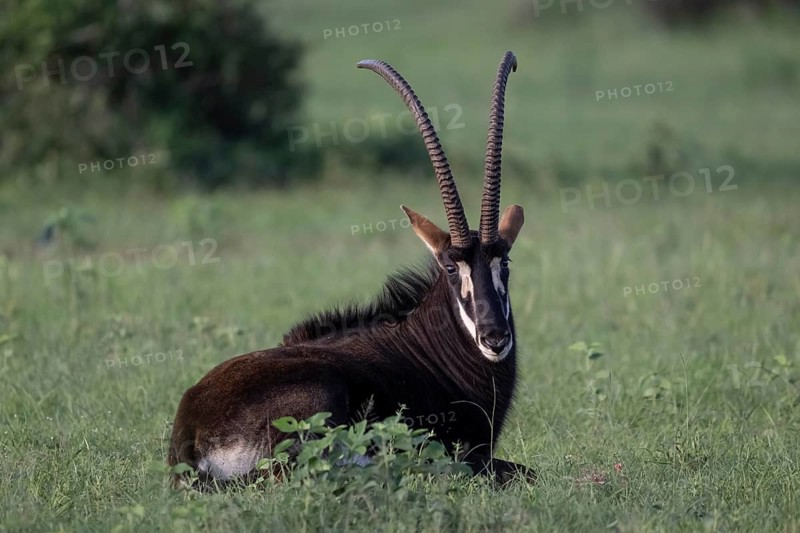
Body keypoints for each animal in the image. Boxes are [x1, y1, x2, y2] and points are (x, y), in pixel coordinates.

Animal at [168, 51, 534, 487]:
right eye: (449, 266)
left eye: (504, 261)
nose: (495, 338)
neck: (428, 342)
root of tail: (190, 432)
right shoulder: (470, 453)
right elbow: (525, 470)